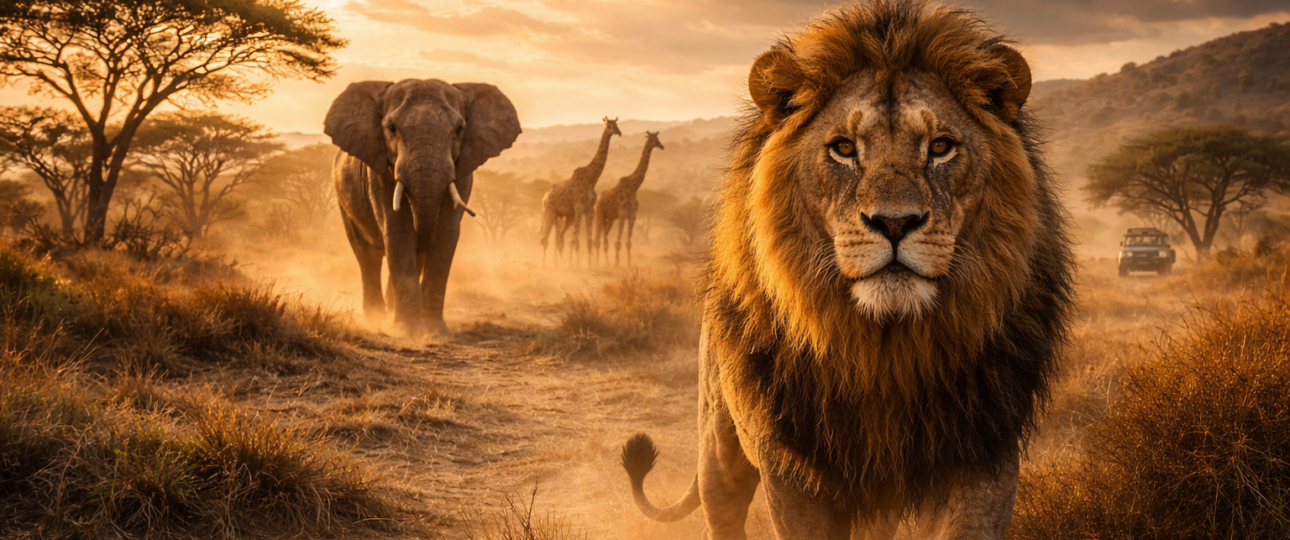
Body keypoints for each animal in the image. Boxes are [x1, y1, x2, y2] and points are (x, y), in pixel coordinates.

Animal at [619, 1, 1075, 539]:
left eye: (941, 147)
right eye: (843, 148)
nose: (895, 222)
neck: (886, 353)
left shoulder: (983, 449)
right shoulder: (793, 466)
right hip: (719, 440)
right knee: (721, 506)